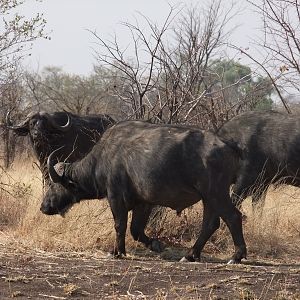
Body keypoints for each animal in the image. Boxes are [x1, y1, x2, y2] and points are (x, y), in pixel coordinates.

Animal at [39, 120, 246, 264]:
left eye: (54, 186)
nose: (43, 207)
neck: (102, 159)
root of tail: (229, 144)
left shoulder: (115, 198)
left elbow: (120, 225)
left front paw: (117, 252)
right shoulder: (144, 203)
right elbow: (136, 230)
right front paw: (155, 244)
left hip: (215, 193)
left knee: (233, 217)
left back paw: (236, 256)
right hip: (208, 198)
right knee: (210, 224)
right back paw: (190, 255)